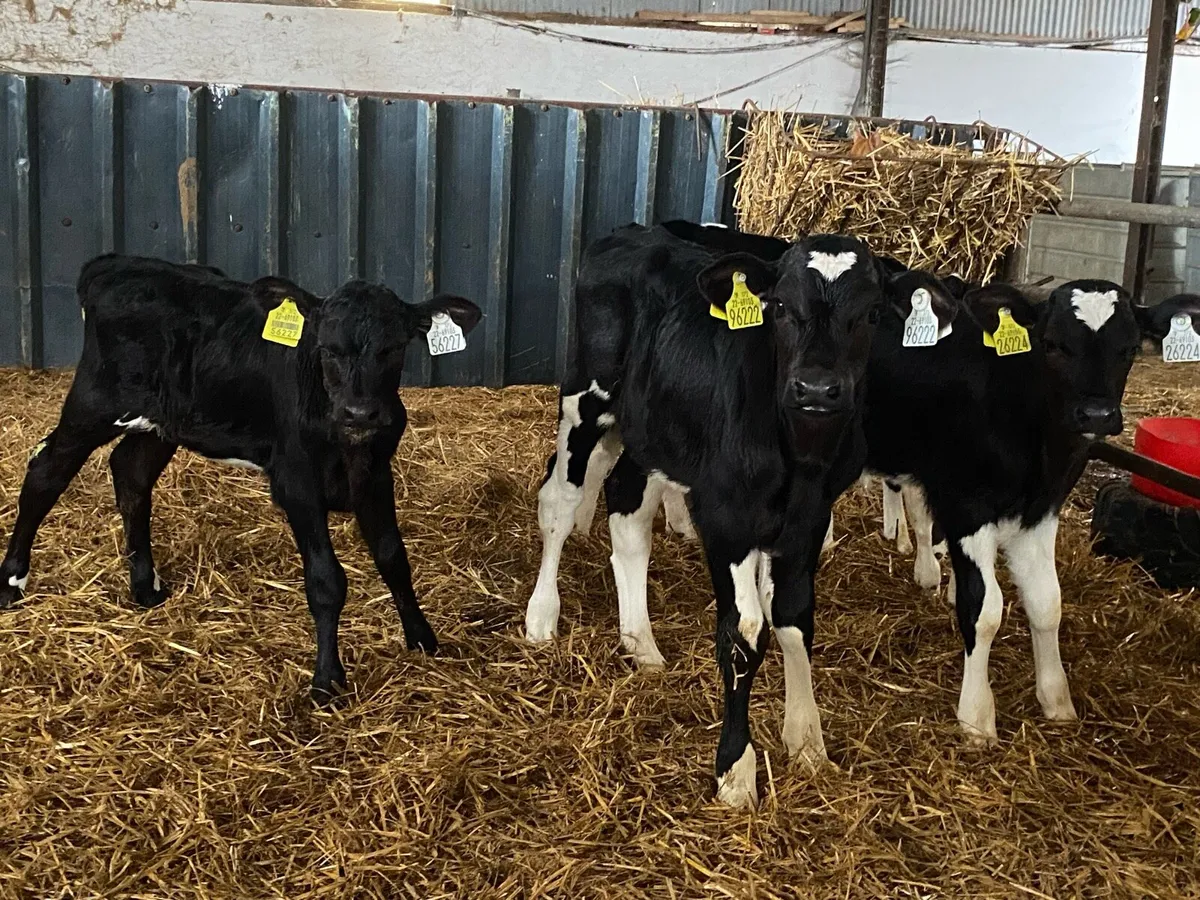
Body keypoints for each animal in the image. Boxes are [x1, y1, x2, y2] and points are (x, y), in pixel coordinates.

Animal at [0, 254, 482, 702]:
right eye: (327, 348)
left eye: (394, 348)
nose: (360, 413)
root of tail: (117, 263)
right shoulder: (296, 482)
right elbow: (327, 581)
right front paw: (327, 679)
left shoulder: (376, 476)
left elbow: (393, 558)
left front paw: (422, 638)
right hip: (94, 403)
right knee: (45, 473)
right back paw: (11, 582)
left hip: (164, 423)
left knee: (131, 475)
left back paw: (145, 588)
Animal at [522, 222, 887, 808]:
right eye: (779, 306)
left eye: (872, 312)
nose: (815, 388)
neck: (800, 457)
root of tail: (631, 232)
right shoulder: (726, 516)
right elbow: (746, 632)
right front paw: (736, 771)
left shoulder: (808, 520)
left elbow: (794, 620)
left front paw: (808, 742)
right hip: (586, 397)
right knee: (560, 501)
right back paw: (542, 615)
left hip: (651, 428)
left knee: (625, 507)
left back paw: (641, 643)